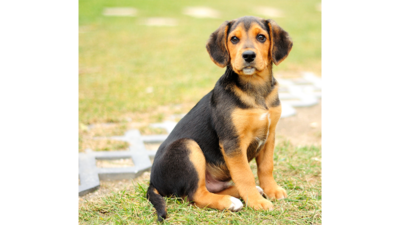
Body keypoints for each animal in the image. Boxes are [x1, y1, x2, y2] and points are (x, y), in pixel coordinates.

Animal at [148, 16, 292, 221]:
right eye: (234, 39)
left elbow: (266, 167)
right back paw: (230, 202)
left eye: (262, 37)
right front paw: (257, 202)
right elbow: (245, 175)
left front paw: (272, 190)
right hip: (187, 146)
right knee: (196, 195)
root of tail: (152, 182)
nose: (248, 56)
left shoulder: (269, 135)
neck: (256, 89)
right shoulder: (232, 142)